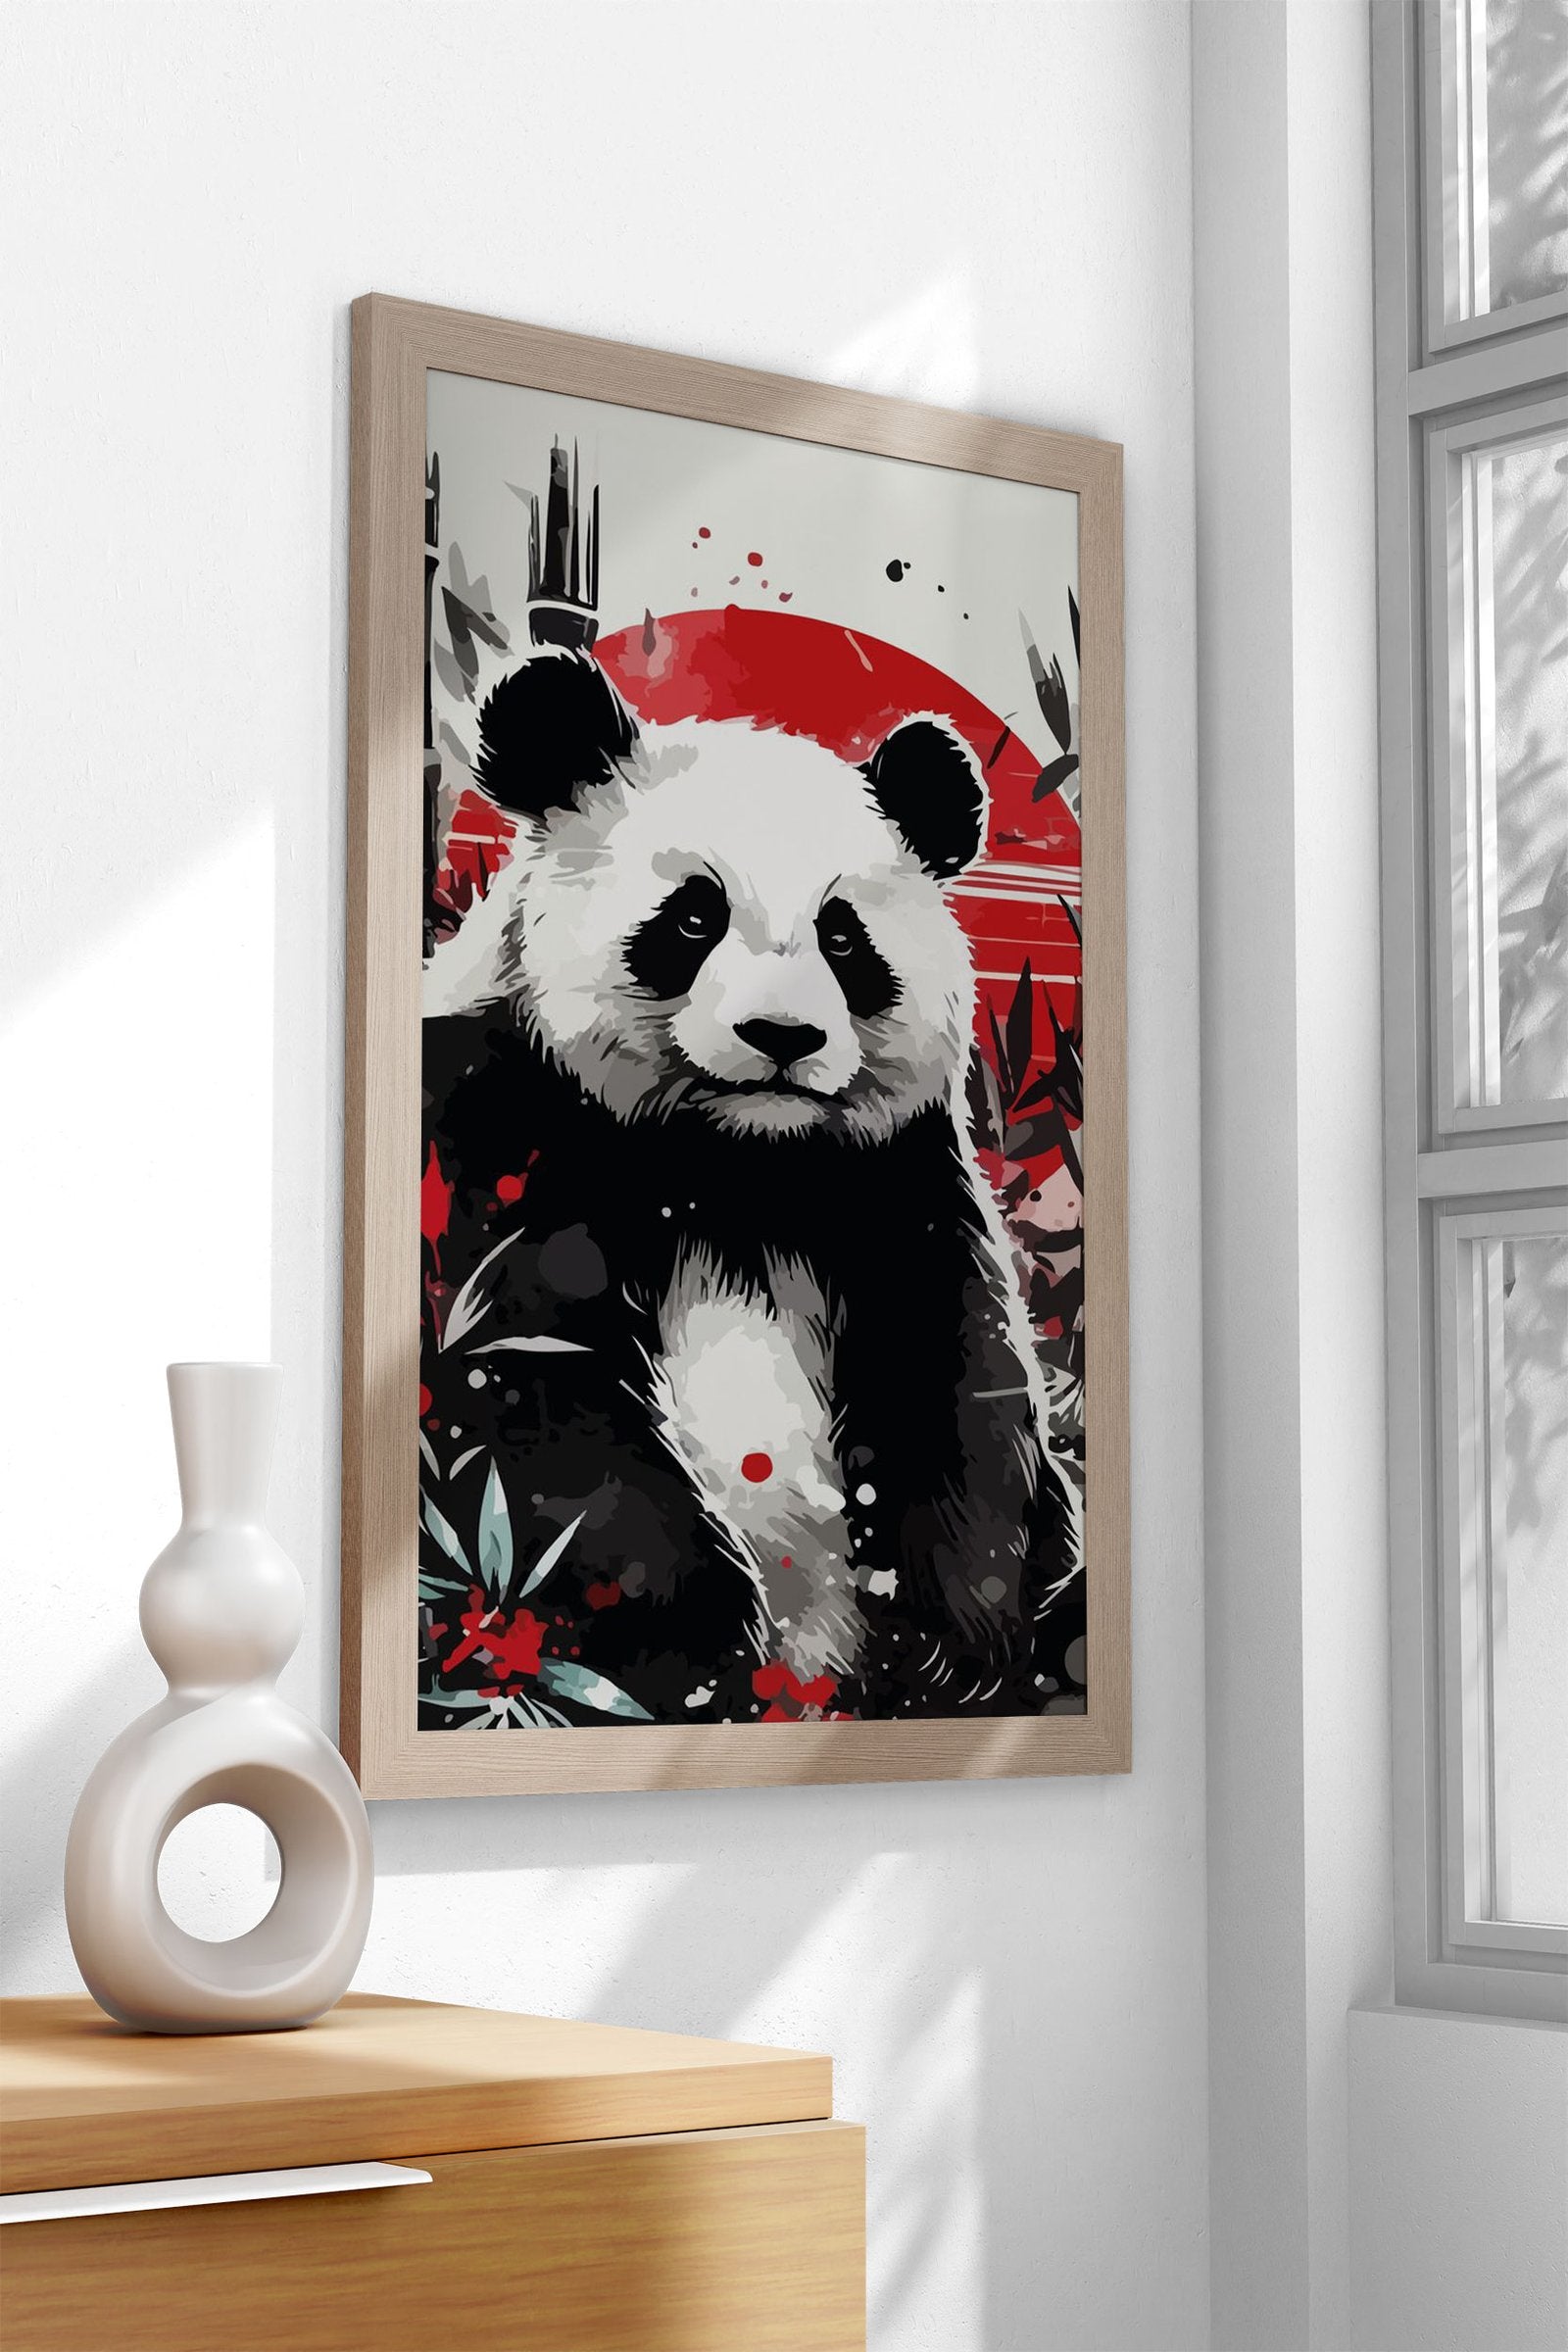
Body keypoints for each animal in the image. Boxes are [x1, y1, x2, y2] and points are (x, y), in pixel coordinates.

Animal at [420, 647, 1083, 1723]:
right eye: (693, 916)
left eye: (843, 938)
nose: (784, 1036)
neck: (733, 1161)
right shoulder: (505, 1131)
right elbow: (528, 1392)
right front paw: (690, 1648)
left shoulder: (893, 1180)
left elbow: (957, 1382)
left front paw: (953, 1650)